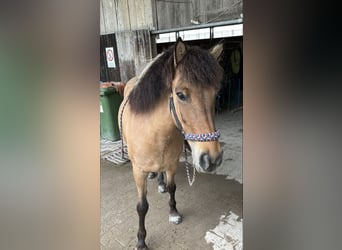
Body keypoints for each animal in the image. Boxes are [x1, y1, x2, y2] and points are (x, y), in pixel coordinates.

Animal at [119, 37, 223, 250]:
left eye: (216, 94)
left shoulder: (172, 164)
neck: (155, 132)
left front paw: (173, 213)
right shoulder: (138, 172)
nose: (212, 159)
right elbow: (142, 207)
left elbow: (172, 188)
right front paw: (141, 241)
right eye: (180, 94)